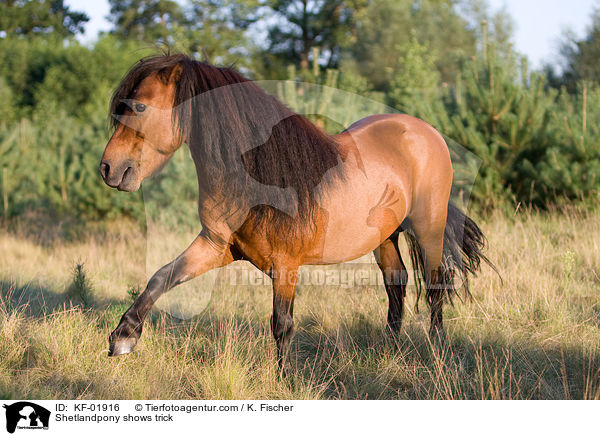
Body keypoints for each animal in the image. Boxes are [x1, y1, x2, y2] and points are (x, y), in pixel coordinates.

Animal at [98, 53, 492, 374]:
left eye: (140, 107)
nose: (107, 169)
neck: (256, 177)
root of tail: (426, 132)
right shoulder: (216, 247)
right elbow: (161, 277)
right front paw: (123, 336)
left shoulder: (285, 264)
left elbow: (282, 323)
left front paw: (284, 380)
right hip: (385, 238)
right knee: (397, 284)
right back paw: (390, 352)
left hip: (429, 229)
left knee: (436, 286)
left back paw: (437, 351)